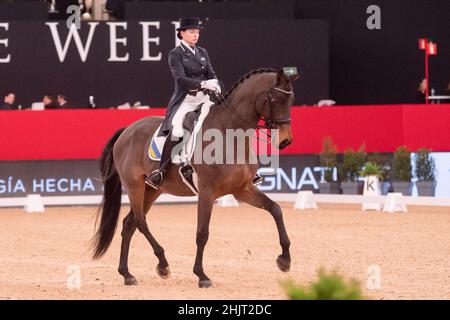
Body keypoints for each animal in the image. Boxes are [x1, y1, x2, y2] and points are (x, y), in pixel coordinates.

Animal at [91, 67, 298, 288]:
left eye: (292, 99)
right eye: (277, 99)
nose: (285, 141)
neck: (229, 134)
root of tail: (127, 130)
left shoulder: (242, 190)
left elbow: (275, 209)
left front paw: (285, 260)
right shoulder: (207, 193)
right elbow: (202, 233)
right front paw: (202, 275)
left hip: (153, 190)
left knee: (130, 223)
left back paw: (127, 274)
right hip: (134, 186)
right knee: (140, 220)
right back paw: (162, 264)